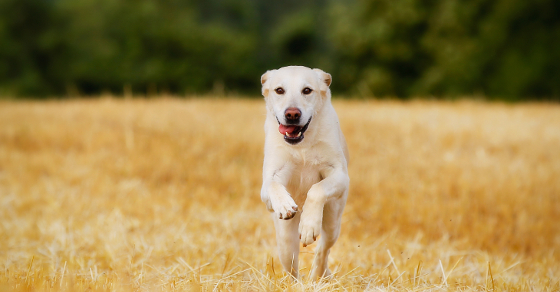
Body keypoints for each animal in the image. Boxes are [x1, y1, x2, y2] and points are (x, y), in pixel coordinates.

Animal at [260, 65, 348, 280]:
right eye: (279, 90)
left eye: (307, 90)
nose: (292, 114)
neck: (302, 146)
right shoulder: (269, 182)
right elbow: (273, 185)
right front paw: (284, 205)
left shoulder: (340, 175)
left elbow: (317, 189)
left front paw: (308, 226)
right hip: (285, 241)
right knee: (292, 268)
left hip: (333, 221)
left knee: (323, 250)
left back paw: (318, 276)